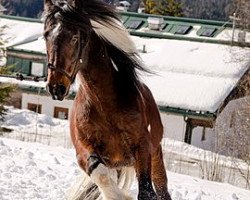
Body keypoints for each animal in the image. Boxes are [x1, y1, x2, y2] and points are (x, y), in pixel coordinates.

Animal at [43, 0, 172, 199]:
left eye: (74, 37)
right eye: (46, 36)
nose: (56, 87)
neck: (104, 105)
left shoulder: (142, 146)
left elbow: (146, 192)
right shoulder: (84, 152)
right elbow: (102, 176)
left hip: (156, 154)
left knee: (162, 188)